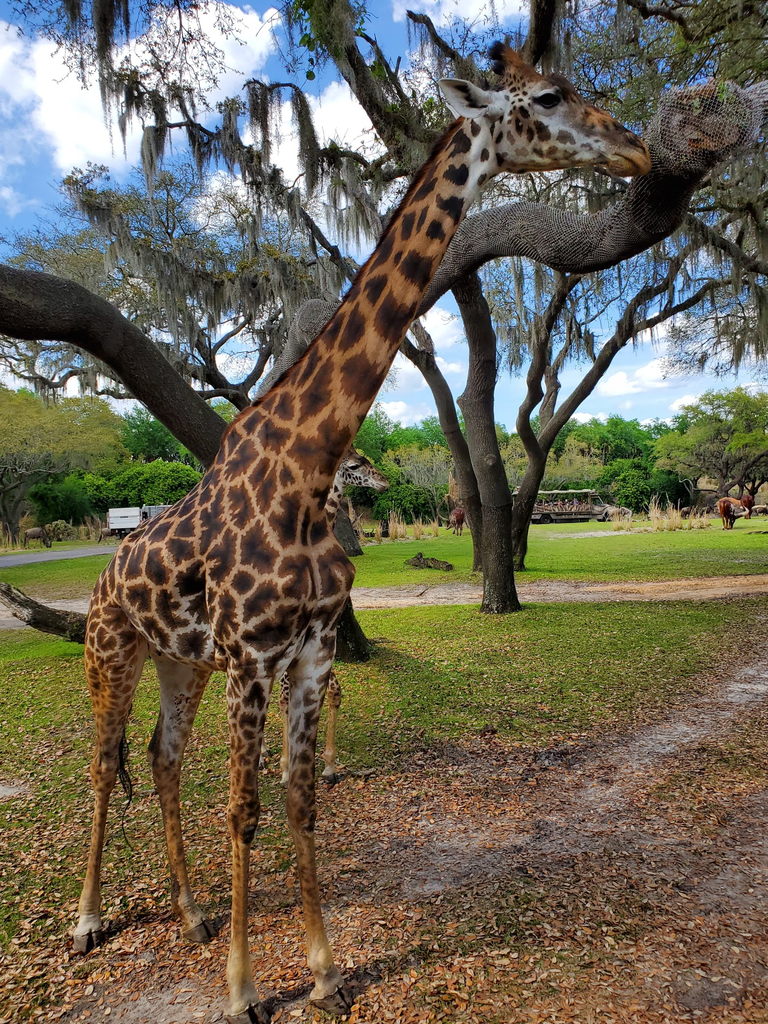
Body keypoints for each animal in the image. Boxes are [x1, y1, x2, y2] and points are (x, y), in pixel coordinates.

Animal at [73, 48, 651, 1024]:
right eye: (546, 97)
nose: (639, 150)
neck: (310, 470)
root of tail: (103, 578)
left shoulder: (305, 654)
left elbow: (301, 801)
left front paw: (326, 973)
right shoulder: (252, 656)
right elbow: (245, 810)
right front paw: (244, 992)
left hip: (179, 662)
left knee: (160, 758)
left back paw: (189, 914)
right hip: (113, 651)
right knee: (104, 761)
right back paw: (84, 924)